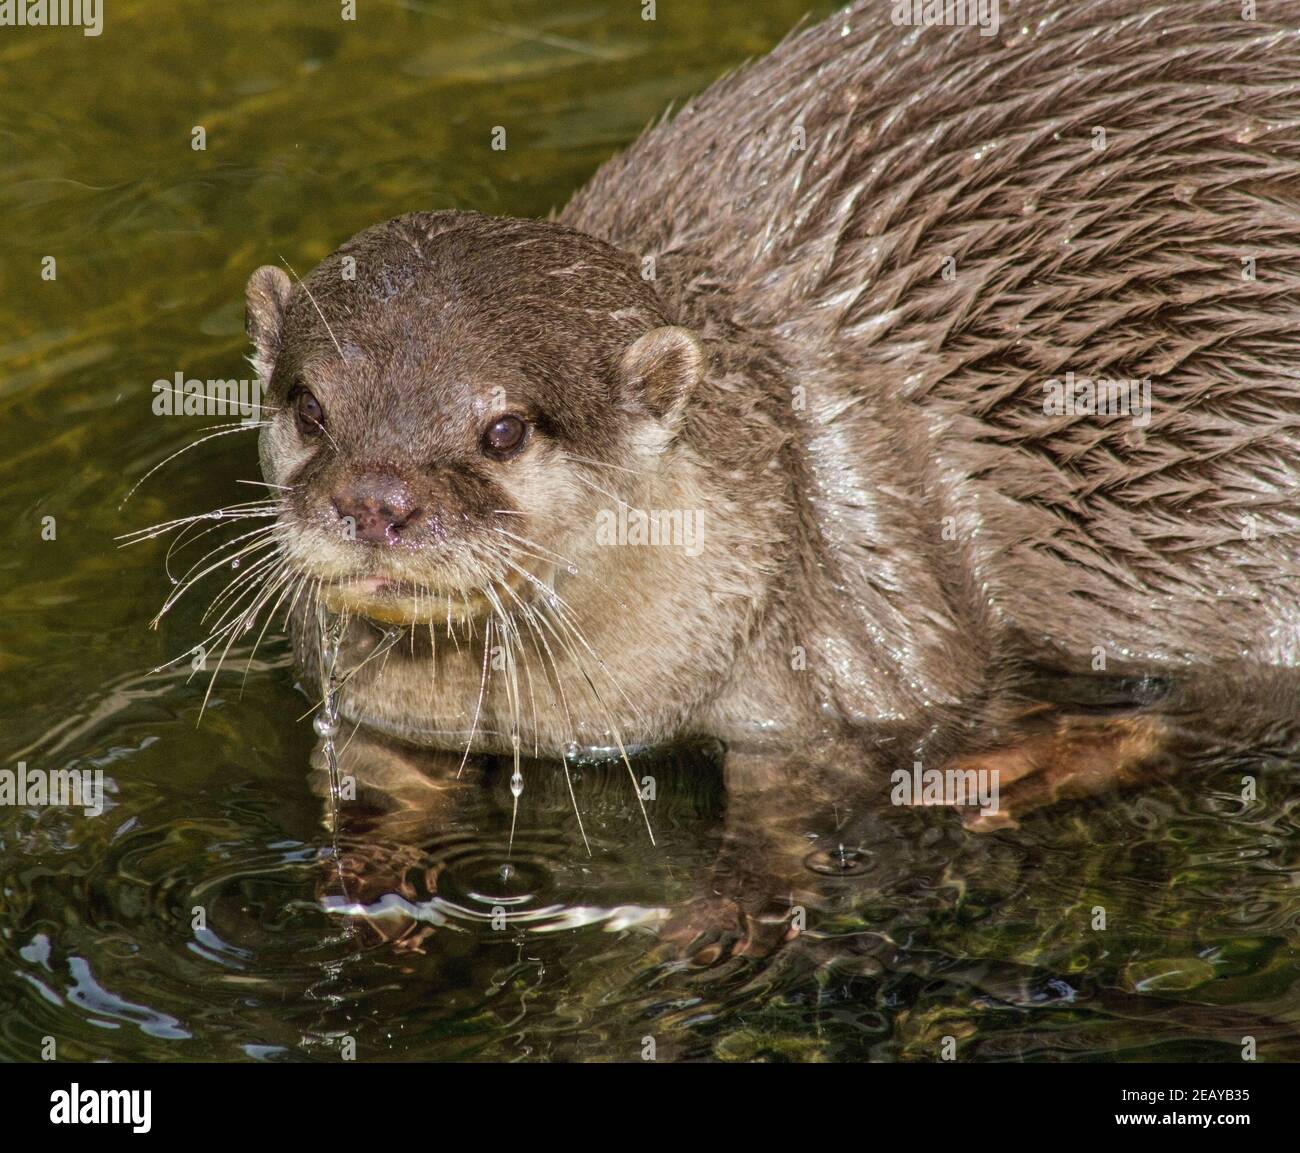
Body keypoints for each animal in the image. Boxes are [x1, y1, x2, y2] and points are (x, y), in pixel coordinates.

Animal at [226, 0, 1300, 956]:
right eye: (309, 406)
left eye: (502, 430)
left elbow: (802, 801)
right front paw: (368, 883)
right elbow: (378, 784)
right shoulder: (366, 704)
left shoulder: (836, 654)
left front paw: (733, 910)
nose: (376, 500)